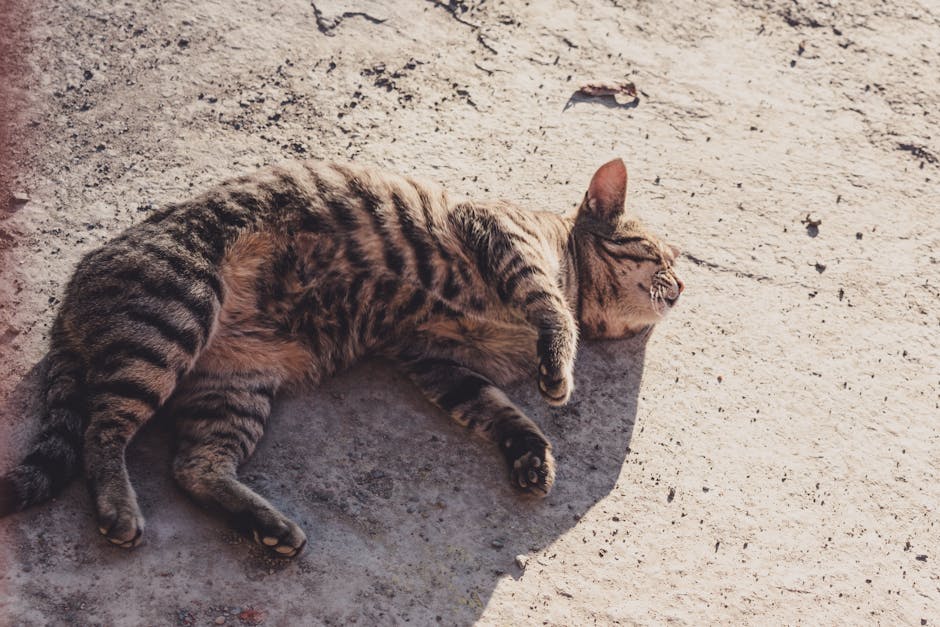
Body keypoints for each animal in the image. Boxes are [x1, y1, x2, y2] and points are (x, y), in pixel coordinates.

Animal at [0, 159, 684, 556]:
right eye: (663, 254)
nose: (682, 286)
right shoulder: (500, 237)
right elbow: (548, 307)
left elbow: (502, 413)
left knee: (193, 467)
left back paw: (269, 527)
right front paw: (559, 364)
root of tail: (72, 292)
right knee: (102, 431)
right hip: (174, 317)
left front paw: (531, 455)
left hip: (233, 387)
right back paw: (120, 509)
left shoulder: (437, 363)